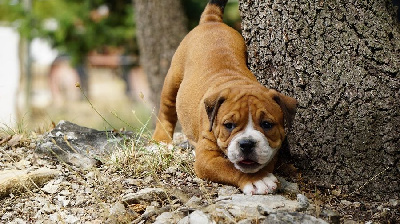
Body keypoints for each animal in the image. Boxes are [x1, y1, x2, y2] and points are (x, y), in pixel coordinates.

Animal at [153, 0, 296, 194]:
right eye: (229, 125)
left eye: (267, 124)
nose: (246, 144)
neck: (238, 82)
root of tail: (211, 21)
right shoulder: (207, 159)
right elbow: (230, 167)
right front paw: (256, 179)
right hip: (173, 78)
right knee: (166, 108)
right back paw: (160, 141)